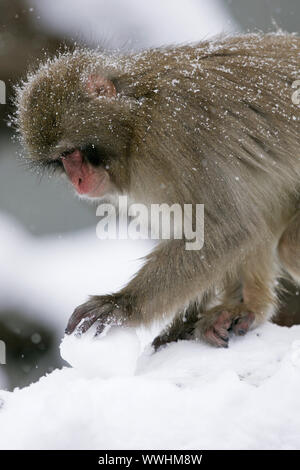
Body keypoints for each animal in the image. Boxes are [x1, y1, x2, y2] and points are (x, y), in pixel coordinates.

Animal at [15, 33, 300, 346]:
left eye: (71, 152)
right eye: (60, 160)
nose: (76, 180)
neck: (135, 121)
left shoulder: (172, 135)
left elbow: (229, 228)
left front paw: (121, 305)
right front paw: (180, 326)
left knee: (288, 245)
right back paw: (248, 307)